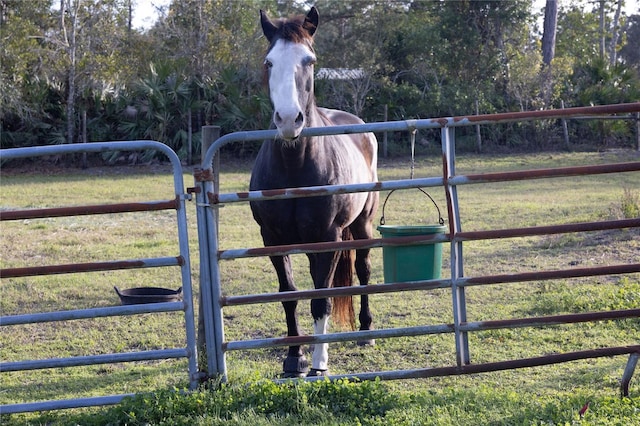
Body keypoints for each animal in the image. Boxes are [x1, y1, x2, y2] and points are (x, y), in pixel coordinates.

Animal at [249, 6, 380, 378]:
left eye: (309, 60)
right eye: (269, 62)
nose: (288, 120)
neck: (295, 166)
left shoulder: (328, 237)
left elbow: (321, 298)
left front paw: (319, 363)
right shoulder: (272, 239)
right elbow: (289, 294)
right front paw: (295, 358)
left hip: (362, 225)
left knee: (363, 270)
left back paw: (366, 331)